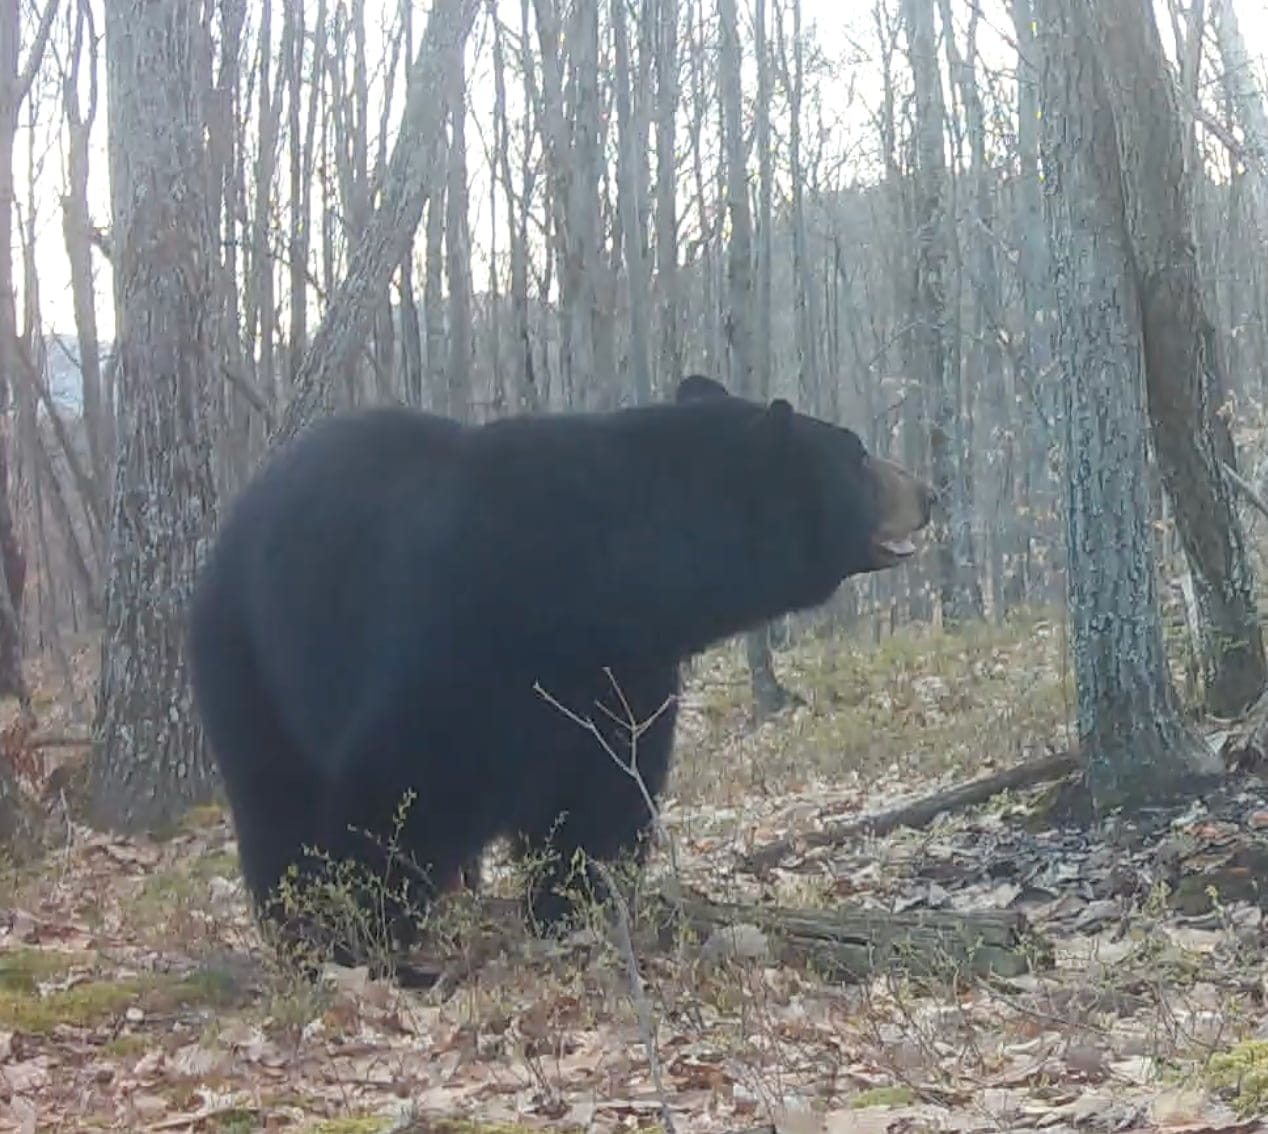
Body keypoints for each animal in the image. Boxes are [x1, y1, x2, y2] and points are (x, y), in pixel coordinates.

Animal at [187, 375, 932, 978]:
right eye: (857, 453)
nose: (927, 490)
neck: (608, 570)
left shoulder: (621, 675)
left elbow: (601, 801)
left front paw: (572, 909)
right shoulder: (457, 641)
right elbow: (396, 786)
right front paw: (364, 934)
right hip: (252, 655)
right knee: (276, 798)